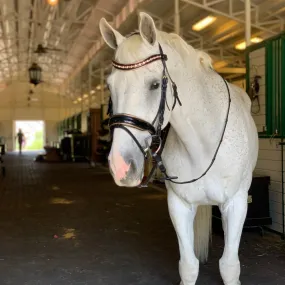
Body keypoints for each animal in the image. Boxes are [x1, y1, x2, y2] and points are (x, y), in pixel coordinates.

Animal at [98, 12, 258, 284]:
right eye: (110, 86)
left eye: (154, 84)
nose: (120, 166)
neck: (204, 145)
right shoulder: (179, 205)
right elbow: (189, 266)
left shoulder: (236, 204)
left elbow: (229, 266)